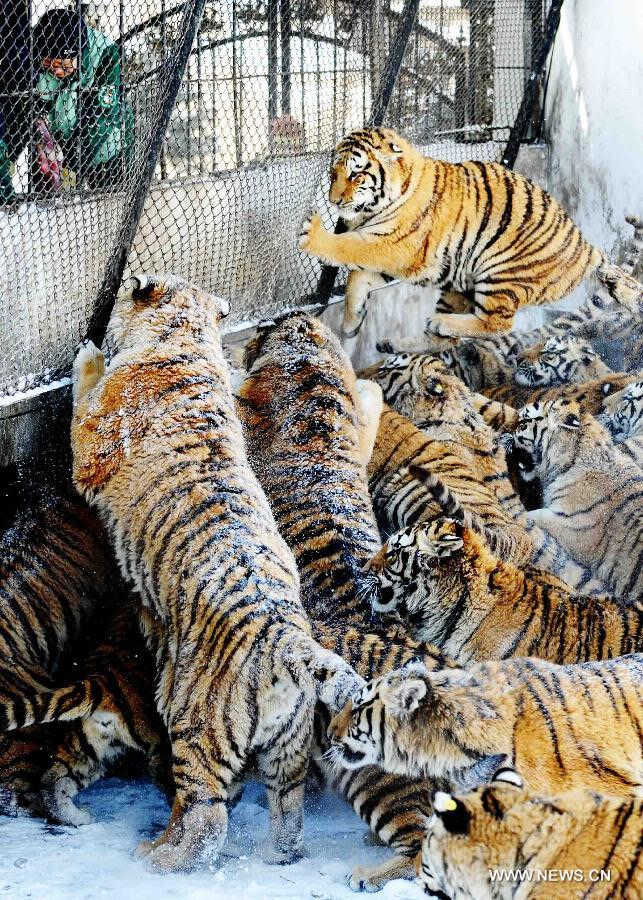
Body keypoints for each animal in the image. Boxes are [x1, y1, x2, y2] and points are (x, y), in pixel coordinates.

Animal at [296, 126, 640, 338]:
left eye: (357, 173)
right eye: (333, 173)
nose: (333, 201)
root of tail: (585, 247)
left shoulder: (394, 246)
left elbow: (348, 248)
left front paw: (312, 234)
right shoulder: (398, 258)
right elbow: (357, 279)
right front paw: (351, 323)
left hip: (500, 268)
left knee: (499, 322)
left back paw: (442, 323)